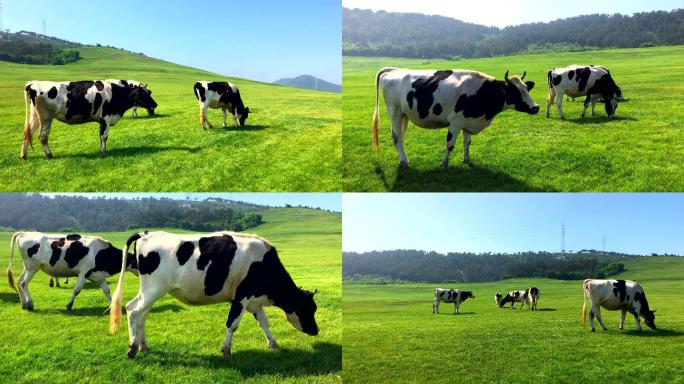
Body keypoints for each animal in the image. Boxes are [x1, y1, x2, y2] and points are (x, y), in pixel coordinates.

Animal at [5, 231, 138, 312]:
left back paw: (24, 304)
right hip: (33, 267)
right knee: (24, 283)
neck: (102, 252)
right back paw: (30, 304)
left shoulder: (99, 276)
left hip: (27, 267)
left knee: (19, 281)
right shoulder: (84, 273)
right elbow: (77, 290)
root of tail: (25, 233)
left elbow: (106, 290)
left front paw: (111, 306)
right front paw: (69, 305)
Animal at [20, 79, 157, 159]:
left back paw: (23, 156)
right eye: (144, 94)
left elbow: (100, 136)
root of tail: (33, 83)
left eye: (149, 93)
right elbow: (104, 136)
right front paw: (104, 152)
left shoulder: (102, 120)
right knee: (42, 136)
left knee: (28, 133)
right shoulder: (106, 118)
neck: (117, 93)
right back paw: (49, 155)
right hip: (46, 117)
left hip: (35, 116)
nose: (155, 104)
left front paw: (101, 150)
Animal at [109, 231, 318, 360]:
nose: (316, 331)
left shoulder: (254, 301)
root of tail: (146, 234)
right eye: (308, 309)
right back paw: (132, 348)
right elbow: (232, 324)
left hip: (152, 291)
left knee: (142, 316)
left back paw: (143, 346)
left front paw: (273, 343)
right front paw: (226, 351)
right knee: (133, 310)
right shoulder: (241, 297)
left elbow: (264, 323)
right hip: (153, 288)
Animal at [374, 67, 540, 168]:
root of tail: (393, 70)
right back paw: (404, 161)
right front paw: (444, 164)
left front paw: (467, 160)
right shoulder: (455, 122)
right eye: (515, 92)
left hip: (404, 115)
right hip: (395, 112)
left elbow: (467, 143)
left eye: (527, 88)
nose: (536, 107)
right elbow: (450, 144)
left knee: (397, 135)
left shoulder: (468, 121)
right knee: (397, 137)